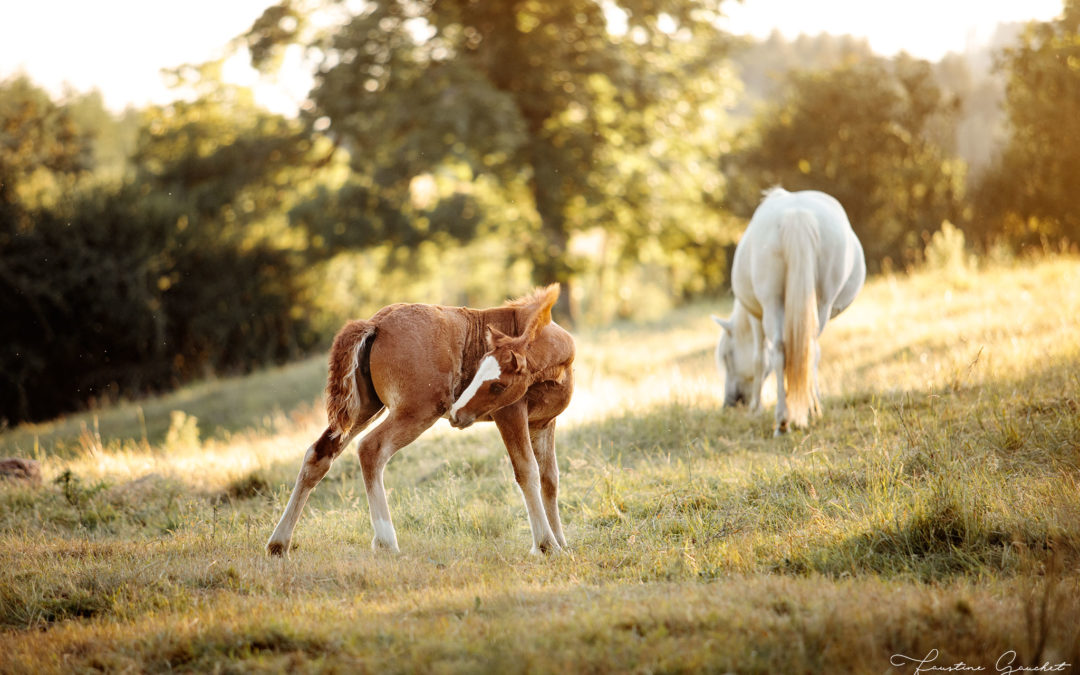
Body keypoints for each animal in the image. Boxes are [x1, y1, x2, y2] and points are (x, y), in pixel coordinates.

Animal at [267, 282, 574, 552]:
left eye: (497, 384)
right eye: (482, 376)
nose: (457, 413)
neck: (556, 368)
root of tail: (376, 323)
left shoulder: (543, 424)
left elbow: (550, 479)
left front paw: (562, 542)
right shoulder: (509, 414)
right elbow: (527, 471)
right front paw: (546, 545)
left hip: (363, 409)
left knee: (319, 454)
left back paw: (278, 544)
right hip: (418, 411)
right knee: (371, 449)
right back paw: (386, 542)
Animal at [712, 186, 864, 434]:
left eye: (727, 356)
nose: (732, 403)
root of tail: (797, 216)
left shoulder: (756, 317)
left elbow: (759, 360)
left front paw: (756, 408)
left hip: (771, 304)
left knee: (779, 351)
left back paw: (783, 420)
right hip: (820, 304)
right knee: (808, 349)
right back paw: (803, 412)